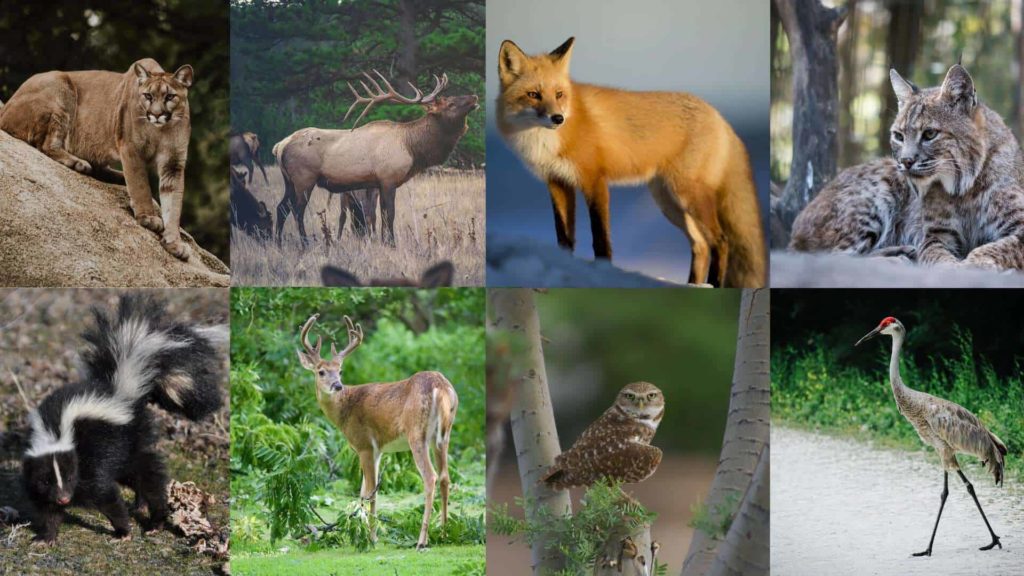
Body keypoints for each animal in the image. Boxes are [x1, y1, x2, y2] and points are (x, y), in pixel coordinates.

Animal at [20, 293, 226, 541]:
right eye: (46, 480)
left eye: (69, 477)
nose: (64, 498)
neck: (55, 432)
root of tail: (123, 390)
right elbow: (46, 507)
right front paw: (46, 537)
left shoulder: (90, 462)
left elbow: (105, 495)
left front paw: (122, 531)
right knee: (136, 474)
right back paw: (141, 505)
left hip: (128, 440)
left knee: (148, 475)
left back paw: (155, 519)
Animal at [272, 69, 479, 243]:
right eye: (451, 103)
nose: (474, 96)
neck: (412, 148)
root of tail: (280, 146)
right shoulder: (388, 178)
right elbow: (390, 214)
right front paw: (392, 243)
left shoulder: (377, 183)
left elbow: (380, 216)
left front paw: (383, 241)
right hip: (304, 178)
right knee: (297, 211)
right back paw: (305, 243)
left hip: (289, 180)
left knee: (281, 208)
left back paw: (278, 243)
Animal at [294, 313, 458, 545]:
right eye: (321, 371)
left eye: (340, 371)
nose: (337, 386)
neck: (346, 409)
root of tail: (440, 387)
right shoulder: (378, 449)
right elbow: (365, 490)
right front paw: (359, 531)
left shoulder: (363, 445)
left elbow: (370, 490)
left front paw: (370, 537)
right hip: (444, 434)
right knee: (445, 477)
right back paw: (443, 532)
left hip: (416, 433)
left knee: (430, 477)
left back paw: (422, 540)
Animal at [495, 36, 770, 284]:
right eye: (533, 94)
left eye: (559, 94)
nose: (557, 118)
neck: (545, 140)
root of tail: (720, 117)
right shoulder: (557, 183)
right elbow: (564, 237)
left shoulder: (594, 180)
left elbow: (600, 237)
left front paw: (603, 272)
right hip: (669, 203)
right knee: (701, 245)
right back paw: (694, 284)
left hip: (688, 196)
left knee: (721, 242)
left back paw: (713, 284)